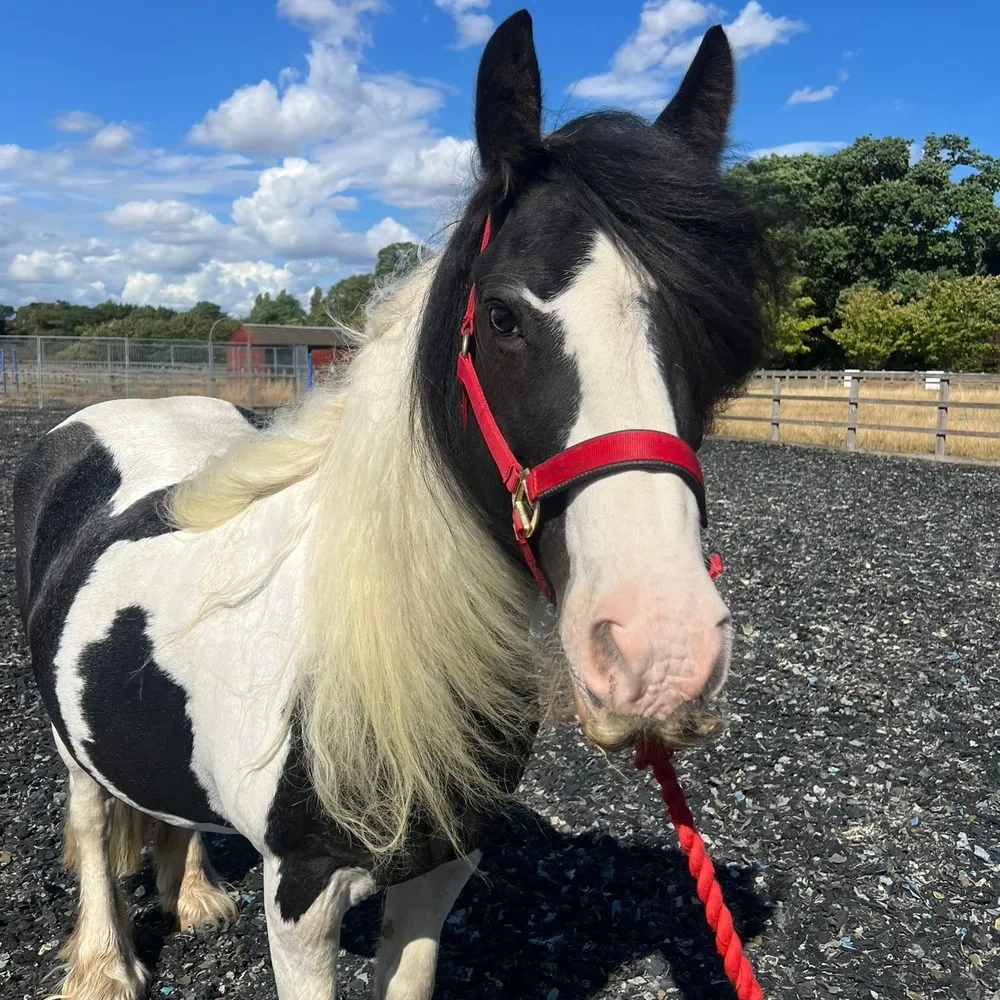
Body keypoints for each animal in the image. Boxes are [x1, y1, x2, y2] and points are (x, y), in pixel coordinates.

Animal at [13, 10, 772, 1000]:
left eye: (721, 334)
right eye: (502, 317)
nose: (661, 653)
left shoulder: (440, 869)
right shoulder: (300, 895)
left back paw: (193, 897)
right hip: (67, 738)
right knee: (95, 819)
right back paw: (105, 965)